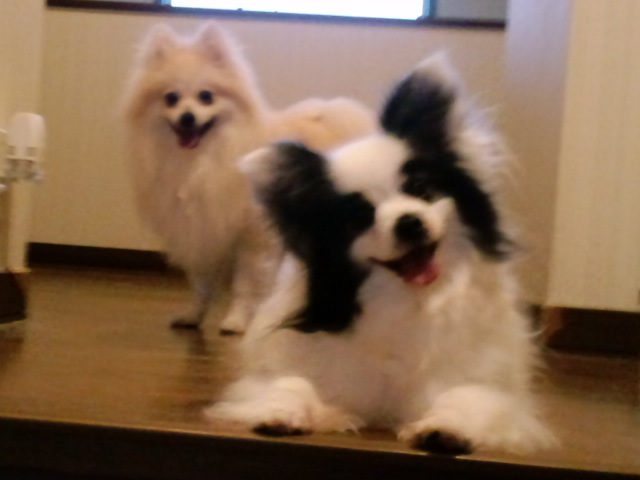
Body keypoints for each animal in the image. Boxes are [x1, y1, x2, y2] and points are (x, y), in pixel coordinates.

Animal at [122, 22, 376, 332]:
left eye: (206, 96)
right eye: (171, 98)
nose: (187, 117)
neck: (201, 161)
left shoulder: (253, 238)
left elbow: (245, 286)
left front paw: (236, 320)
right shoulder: (201, 230)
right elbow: (201, 284)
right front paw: (194, 316)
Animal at [206, 54, 553, 455]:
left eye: (421, 191)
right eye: (361, 217)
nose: (409, 222)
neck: (408, 300)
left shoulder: (491, 391)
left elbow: (464, 397)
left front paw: (444, 428)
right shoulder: (295, 370)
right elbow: (290, 384)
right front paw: (281, 412)